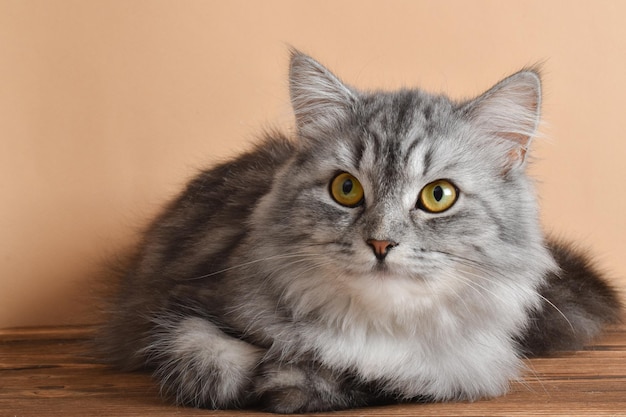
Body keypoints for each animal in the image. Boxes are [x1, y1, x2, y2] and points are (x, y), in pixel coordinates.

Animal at [97, 50, 620, 412]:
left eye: (438, 196)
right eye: (345, 189)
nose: (381, 243)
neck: (377, 328)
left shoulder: (465, 370)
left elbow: (381, 381)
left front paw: (297, 381)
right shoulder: (177, 312)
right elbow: (218, 367)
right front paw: (281, 376)